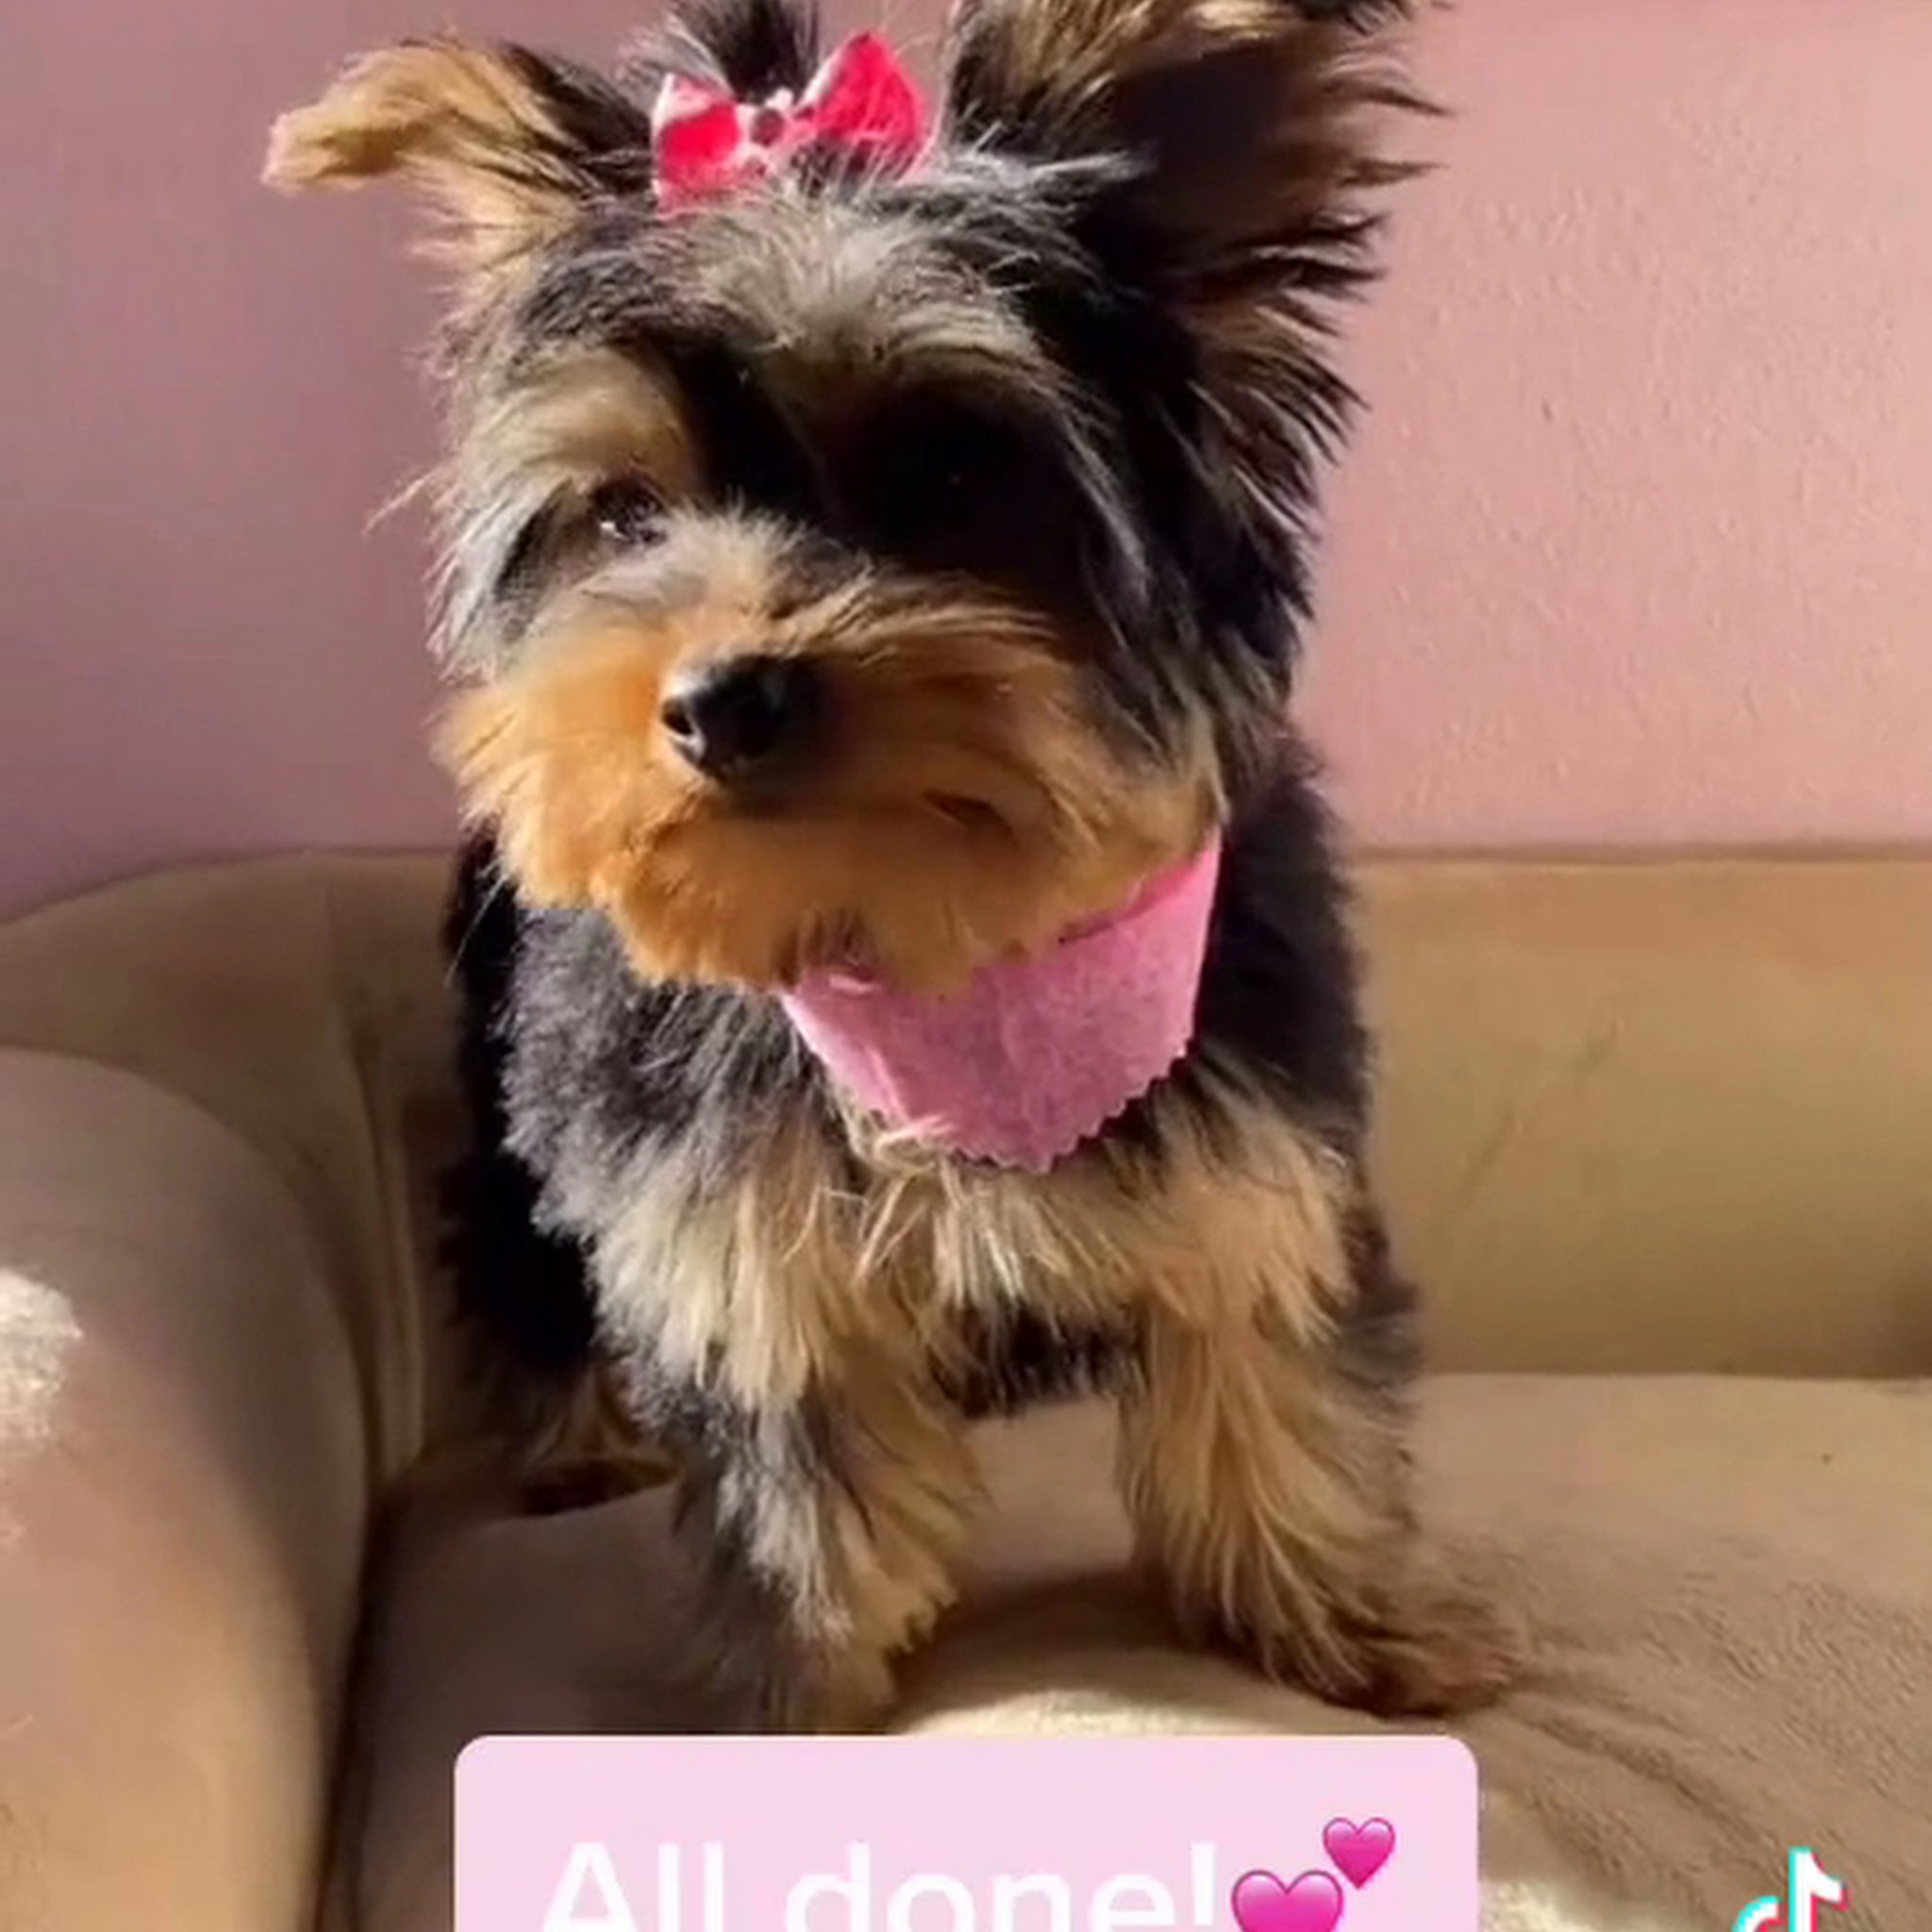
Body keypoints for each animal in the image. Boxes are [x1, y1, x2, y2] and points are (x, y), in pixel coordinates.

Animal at [266, 0, 1520, 1733]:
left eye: (947, 475)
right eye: (624, 515)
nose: (721, 698)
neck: (925, 937)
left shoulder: (1248, 1143)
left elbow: (1266, 1359)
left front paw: (1343, 1610)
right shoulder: (727, 1228)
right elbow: (803, 1485)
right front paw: (794, 1689)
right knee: (516, 1239)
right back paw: (577, 1433)